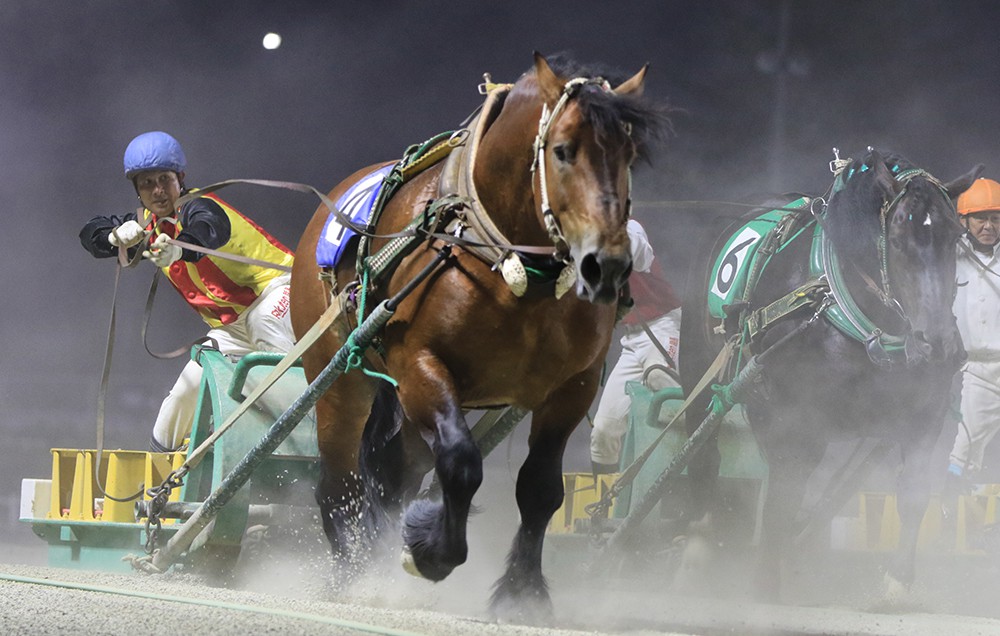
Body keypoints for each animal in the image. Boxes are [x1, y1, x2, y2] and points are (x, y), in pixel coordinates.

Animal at [289, 53, 670, 622]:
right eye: (562, 150)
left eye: (630, 155)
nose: (607, 266)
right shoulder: (421, 366)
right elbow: (461, 463)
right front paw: (430, 551)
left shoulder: (573, 388)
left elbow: (540, 489)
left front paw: (522, 592)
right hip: (339, 378)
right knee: (340, 482)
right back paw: (352, 576)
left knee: (395, 470)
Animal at [678, 149, 981, 603]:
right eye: (896, 239)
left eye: (955, 238)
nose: (939, 345)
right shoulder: (787, 416)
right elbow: (782, 494)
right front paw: (765, 582)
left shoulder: (923, 413)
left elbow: (912, 492)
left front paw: (898, 582)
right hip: (700, 371)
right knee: (704, 452)